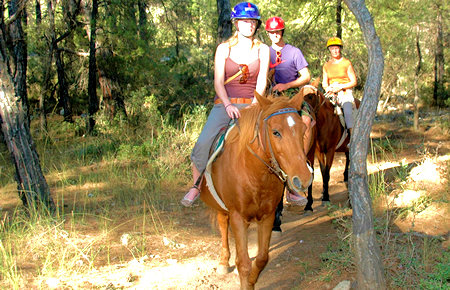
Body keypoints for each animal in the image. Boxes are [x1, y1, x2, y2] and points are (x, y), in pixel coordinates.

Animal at [200, 90, 312, 288]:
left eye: (303, 130)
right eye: (276, 132)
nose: (304, 179)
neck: (255, 174)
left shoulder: (267, 216)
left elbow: (261, 258)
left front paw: (252, 280)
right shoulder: (237, 217)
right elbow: (243, 263)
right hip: (222, 208)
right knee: (222, 225)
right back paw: (223, 262)